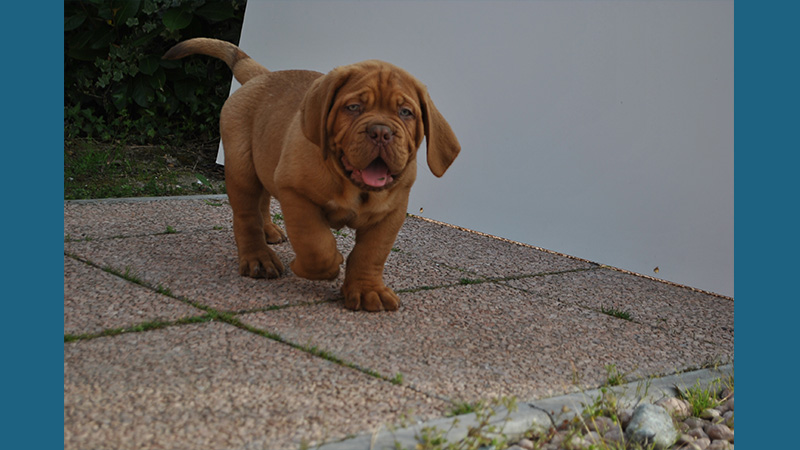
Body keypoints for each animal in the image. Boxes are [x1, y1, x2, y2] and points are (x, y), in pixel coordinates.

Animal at [162, 38, 460, 312]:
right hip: (242, 166)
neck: (353, 186)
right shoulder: (296, 194)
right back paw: (258, 259)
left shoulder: (390, 214)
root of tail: (261, 75)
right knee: (246, 215)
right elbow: (317, 245)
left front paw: (367, 291)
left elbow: (371, 253)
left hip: (264, 160)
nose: (381, 132)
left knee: (262, 200)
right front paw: (320, 266)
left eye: (405, 112)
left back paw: (269, 231)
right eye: (353, 107)